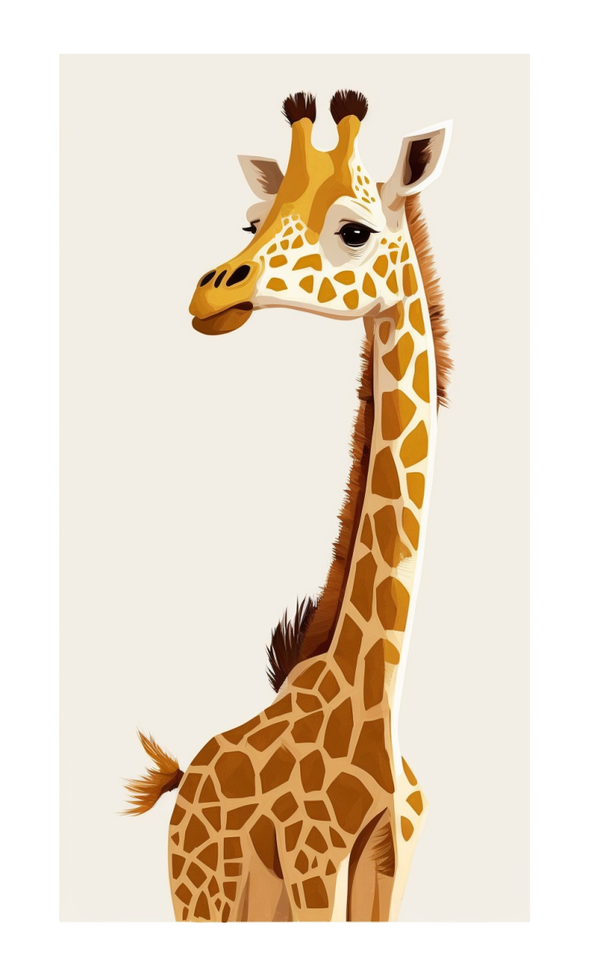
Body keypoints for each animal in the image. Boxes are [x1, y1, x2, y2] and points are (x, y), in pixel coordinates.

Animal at [125, 90, 452, 922]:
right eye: (255, 223)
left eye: (355, 230)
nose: (213, 291)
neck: (375, 695)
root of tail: (185, 779)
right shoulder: (313, 864)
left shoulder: (391, 865)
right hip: (203, 897)